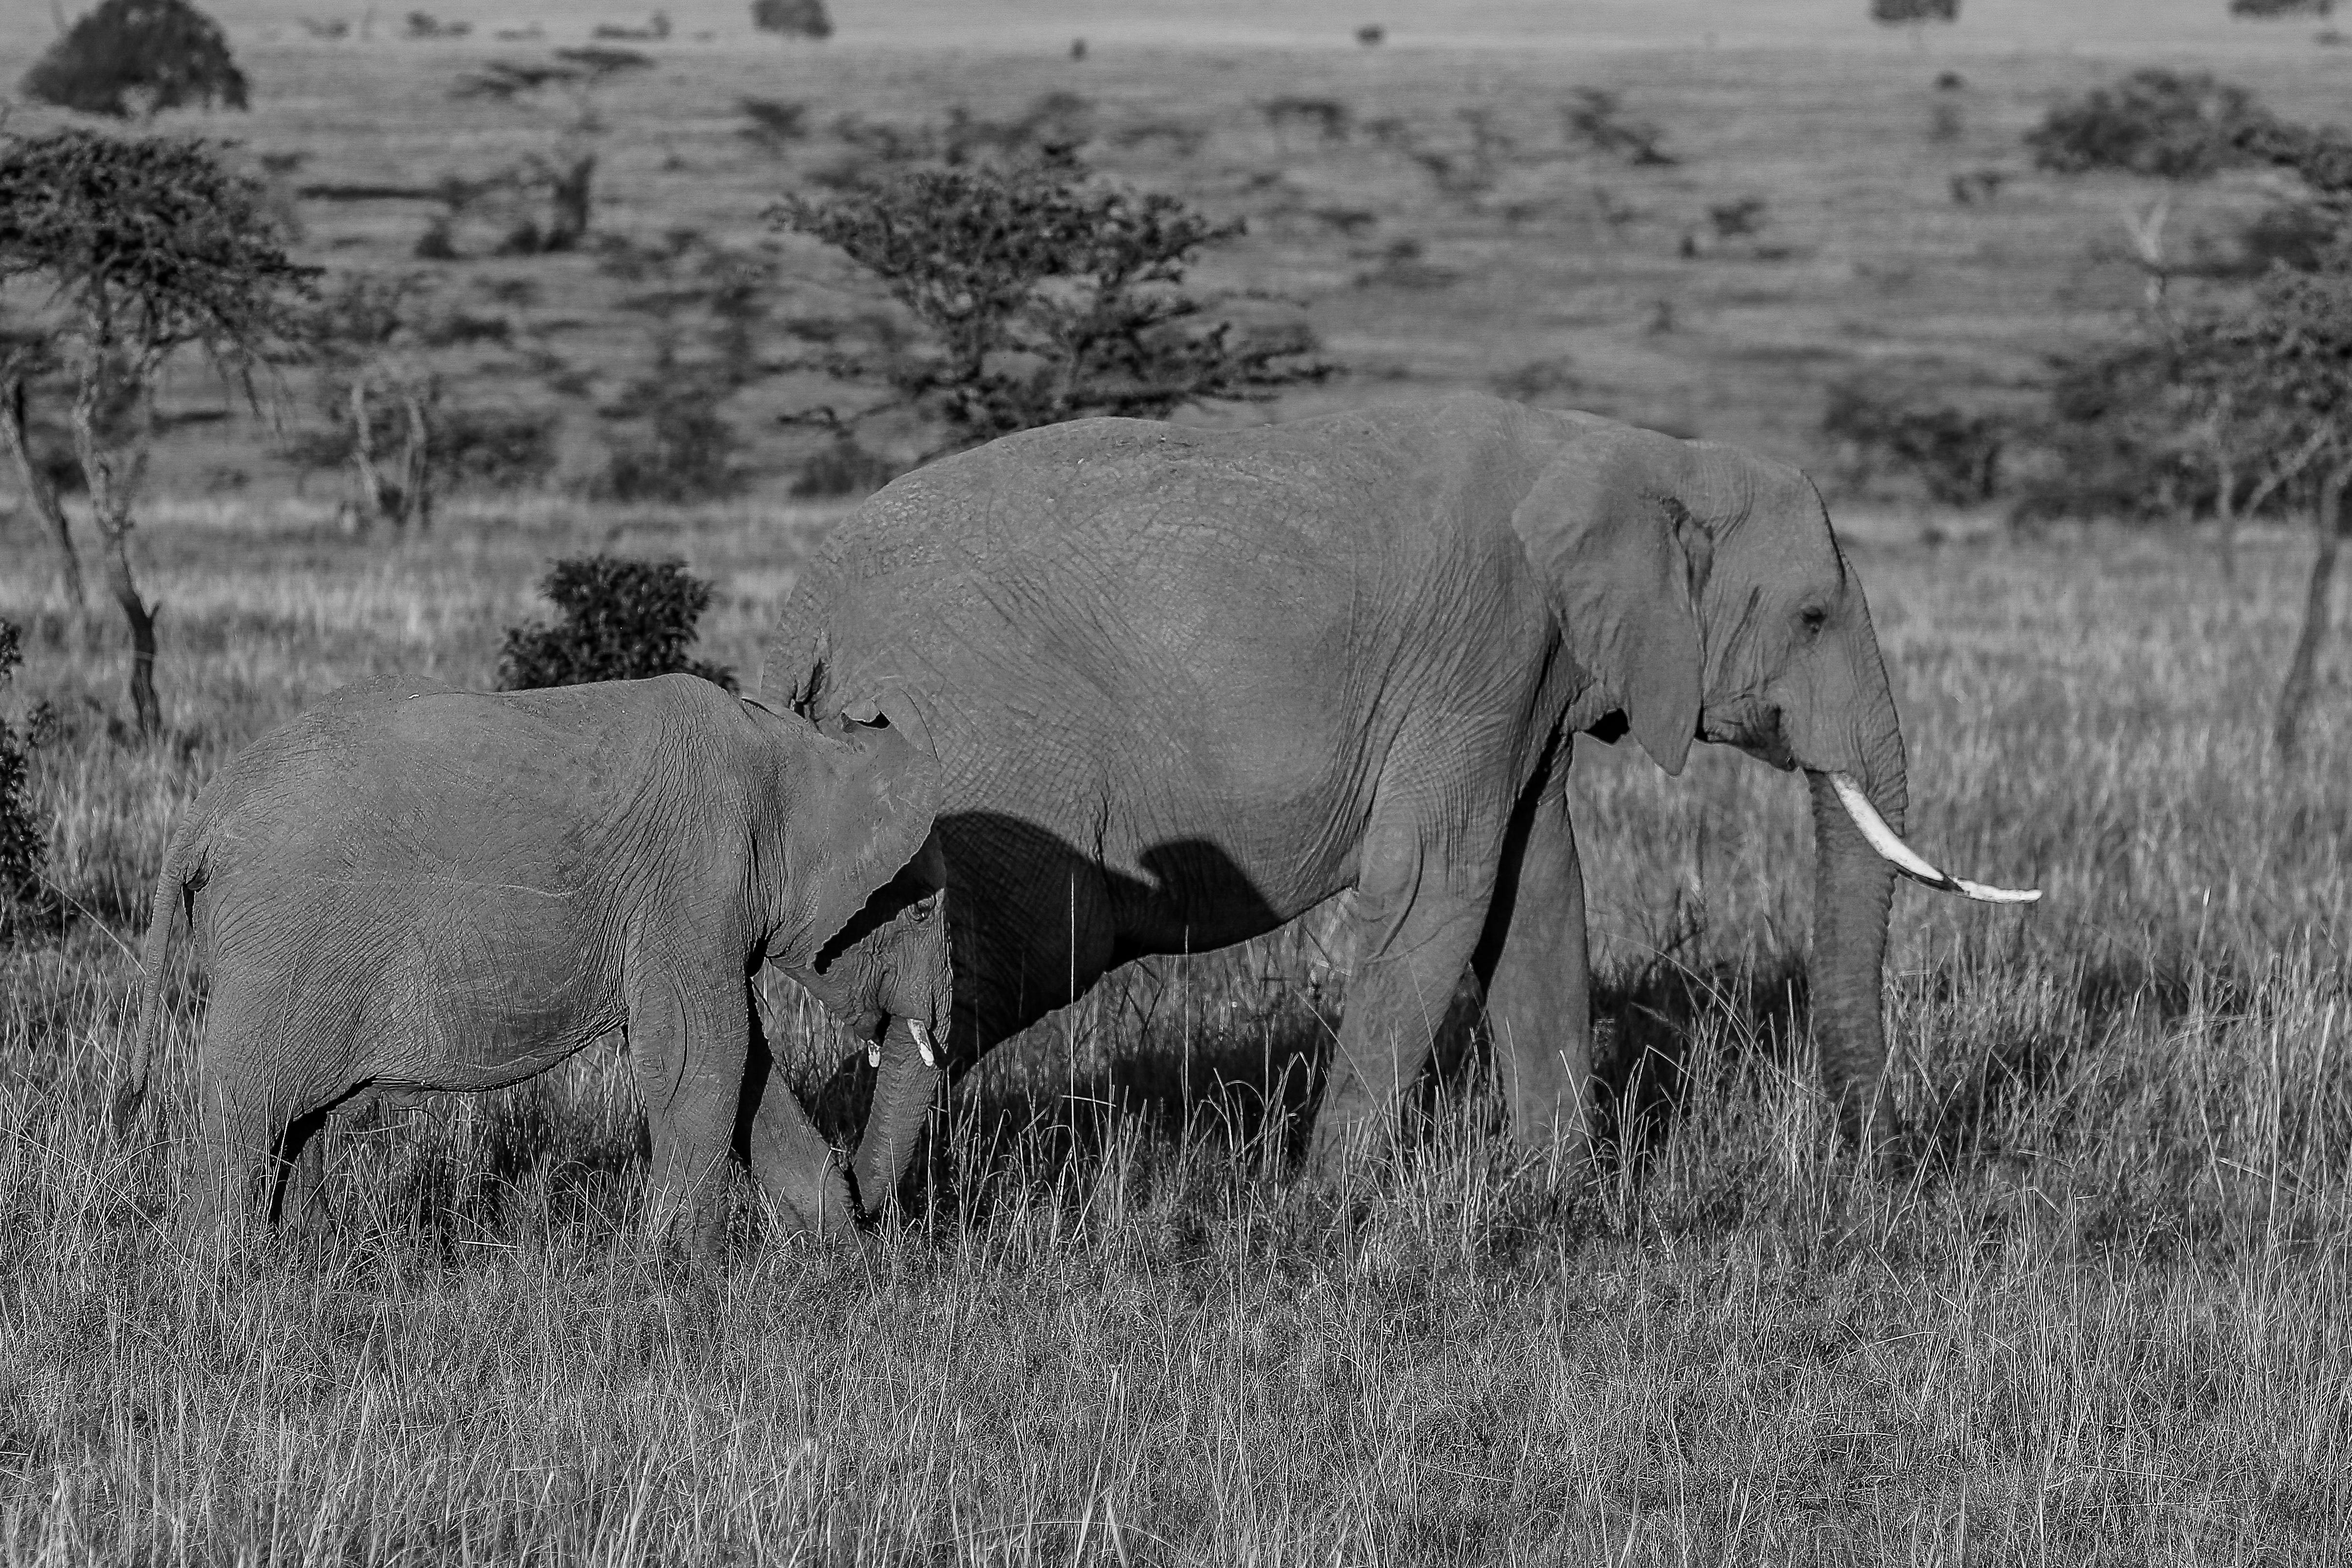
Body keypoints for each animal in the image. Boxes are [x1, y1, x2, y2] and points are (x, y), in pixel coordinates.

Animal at [113, 672, 952, 1249]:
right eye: (917, 910)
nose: (870, 1211)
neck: (797, 749)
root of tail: (204, 811)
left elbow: (743, 1070)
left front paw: (829, 1251)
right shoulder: (694, 879)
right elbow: (702, 1059)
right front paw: (678, 1275)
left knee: (301, 1117)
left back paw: (303, 1262)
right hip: (283, 936)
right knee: (250, 1109)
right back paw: (218, 1279)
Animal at [761, 394, 2035, 1212]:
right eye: (1813, 616)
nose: (1885, 1167)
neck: (1632, 450)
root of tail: (804, 613)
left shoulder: (1531, 677)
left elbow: (1535, 895)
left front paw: (1556, 1202)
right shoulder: (1483, 648)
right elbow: (1442, 892)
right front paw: (1320, 1220)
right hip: (983, 752)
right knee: (981, 970)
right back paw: (852, 1202)